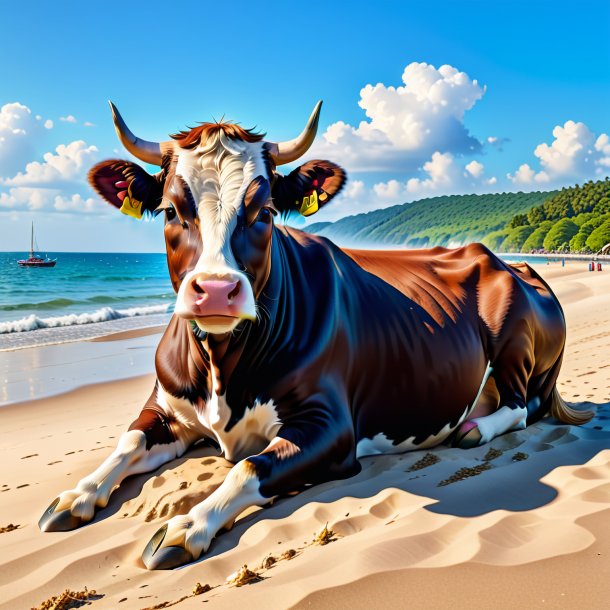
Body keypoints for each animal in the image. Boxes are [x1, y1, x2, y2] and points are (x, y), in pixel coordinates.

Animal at [38, 97, 588, 568]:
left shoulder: (333, 426)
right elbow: (127, 442)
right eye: (172, 211)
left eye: (263, 212)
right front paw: (77, 494)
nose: (214, 291)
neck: (220, 368)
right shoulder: (167, 405)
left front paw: (187, 525)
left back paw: (474, 429)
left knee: (520, 407)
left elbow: (248, 467)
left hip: (513, 341)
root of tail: (509, 261)